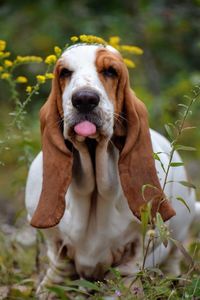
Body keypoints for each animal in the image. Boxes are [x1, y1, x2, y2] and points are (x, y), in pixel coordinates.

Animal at [25, 43, 197, 290]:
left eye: (110, 71)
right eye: (65, 72)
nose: (84, 99)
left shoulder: (141, 244)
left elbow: (130, 269)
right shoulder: (54, 241)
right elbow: (59, 264)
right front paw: (50, 289)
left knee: (173, 259)